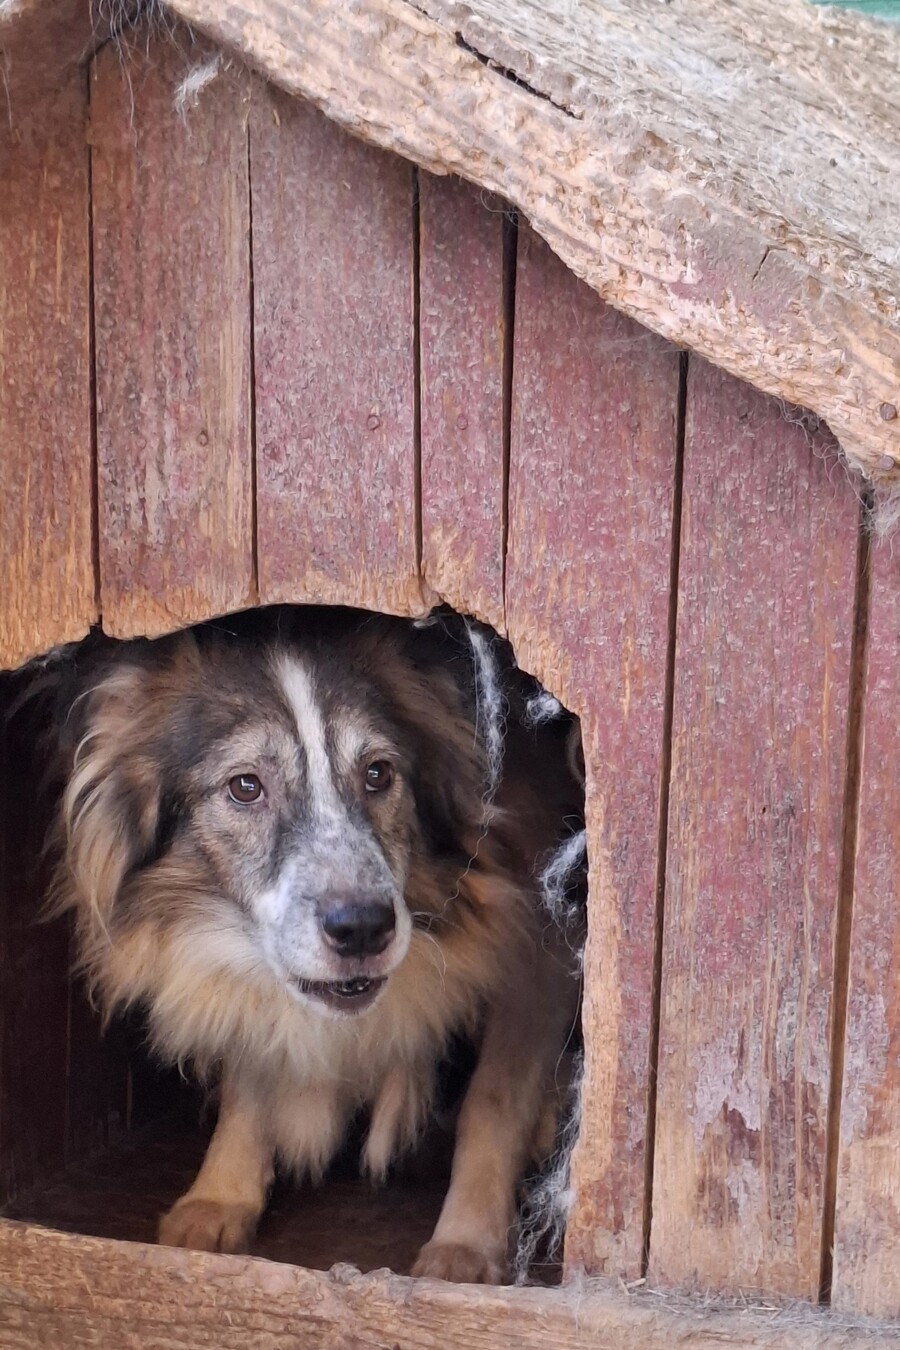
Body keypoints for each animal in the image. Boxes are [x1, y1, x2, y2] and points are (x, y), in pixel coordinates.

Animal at [45, 606, 584, 1283]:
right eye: (245, 787)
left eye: (379, 773)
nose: (363, 928)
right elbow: (251, 1067)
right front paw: (219, 1196)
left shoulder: (540, 954)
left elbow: (493, 1100)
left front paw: (466, 1246)